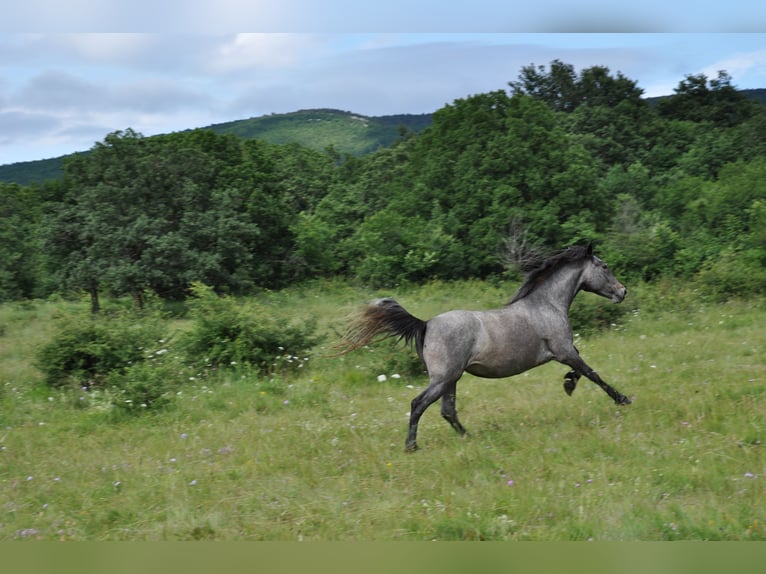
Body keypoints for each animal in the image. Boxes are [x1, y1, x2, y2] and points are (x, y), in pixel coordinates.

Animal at [340, 245, 632, 452]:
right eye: (604, 266)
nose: (623, 292)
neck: (547, 305)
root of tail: (426, 324)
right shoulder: (563, 351)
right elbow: (593, 373)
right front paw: (622, 399)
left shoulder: (564, 352)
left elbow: (582, 370)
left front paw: (569, 383)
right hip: (444, 378)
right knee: (418, 403)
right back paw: (412, 447)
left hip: (452, 379)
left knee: (447, 410)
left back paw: (469, 437)